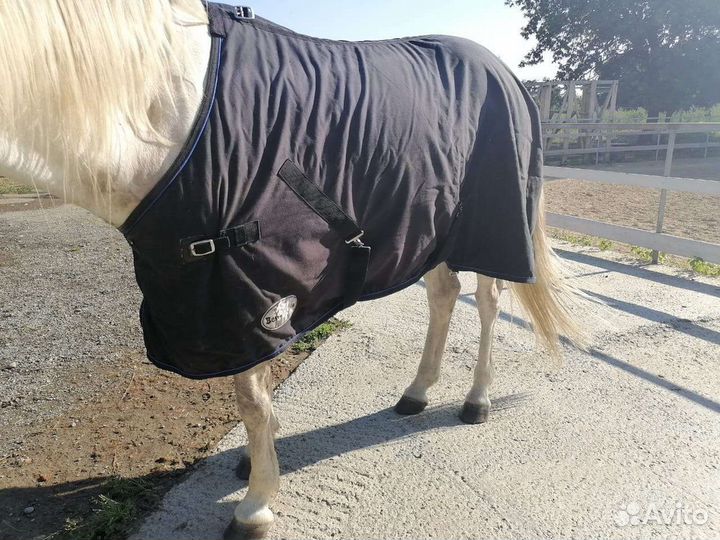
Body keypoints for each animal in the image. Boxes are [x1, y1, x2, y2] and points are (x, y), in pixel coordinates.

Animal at [0, 2, 584, 538]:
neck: (172, 117)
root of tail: (505, 70)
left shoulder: (249, 292)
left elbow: (252, 401)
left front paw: (255, 506)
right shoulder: (223, 303)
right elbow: (255, 394)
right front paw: (253, 466)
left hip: (494, 227)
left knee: (486, 302)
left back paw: (475, 401)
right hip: (431, 228)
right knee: (443, 295)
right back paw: (416, 393)